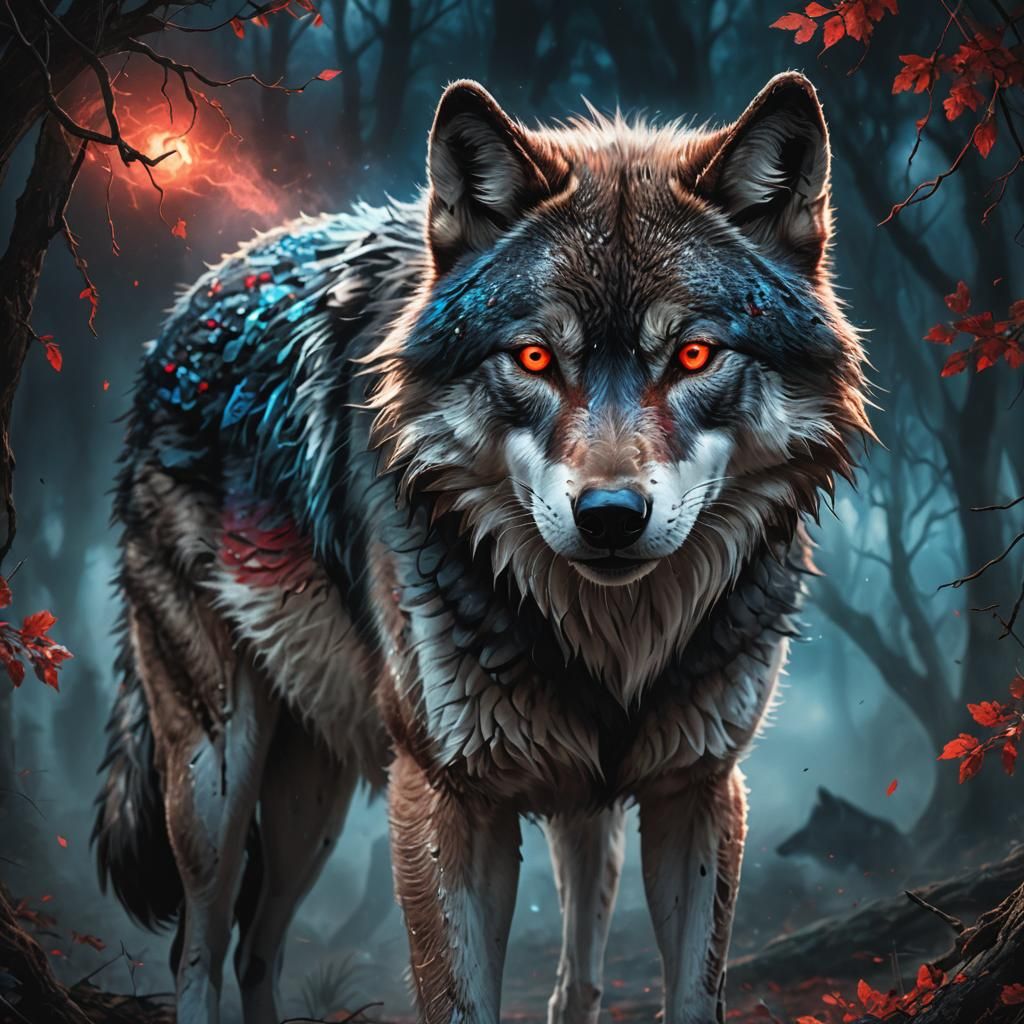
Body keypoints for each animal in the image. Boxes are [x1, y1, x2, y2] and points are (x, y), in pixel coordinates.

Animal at [93, 73, 869, 1024]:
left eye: (693, 355)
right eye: (534, 357)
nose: (611, 516)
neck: (613, 638)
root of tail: (188, 303)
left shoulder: (697, 789)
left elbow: (689, 991)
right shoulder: (445, 797)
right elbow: (457, 996)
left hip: (323, 800)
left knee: (268, 949)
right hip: (219, 779)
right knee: (200, 950)